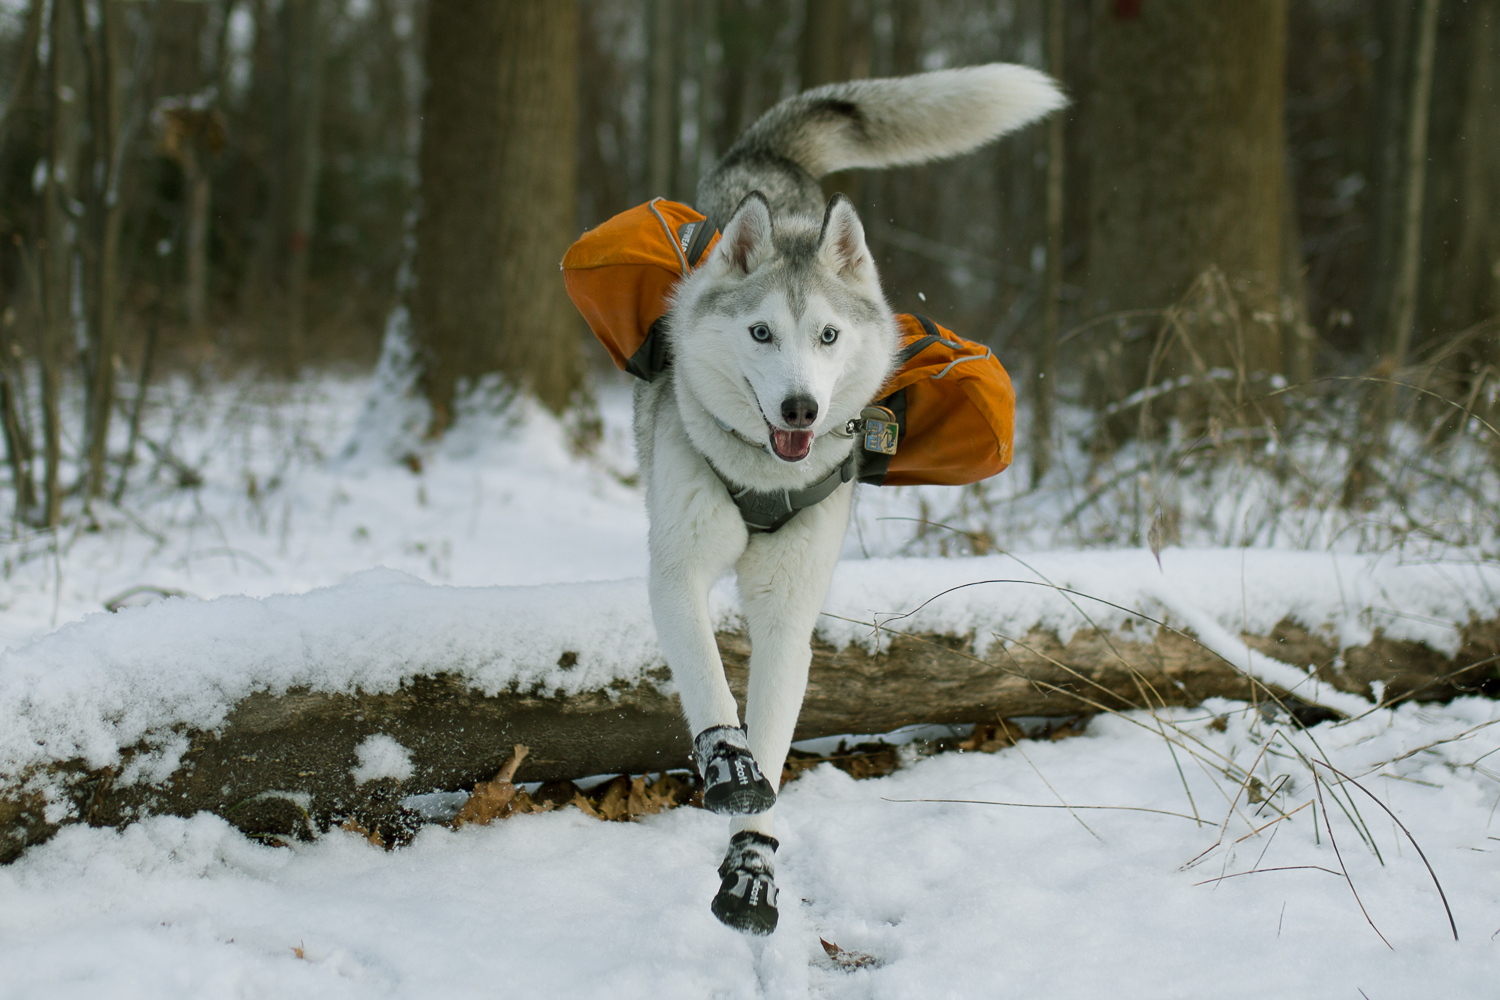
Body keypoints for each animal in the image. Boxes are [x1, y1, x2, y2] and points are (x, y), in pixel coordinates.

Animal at [636, 64, 1068, 941]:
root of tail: (774, 173)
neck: (762, 476)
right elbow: (710, 683)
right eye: (761, 333)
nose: (801, 409)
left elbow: (773, 735)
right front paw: (727, 761)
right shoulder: (676, 574)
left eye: (829, 336)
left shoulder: (788, 612)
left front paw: (752, 863)